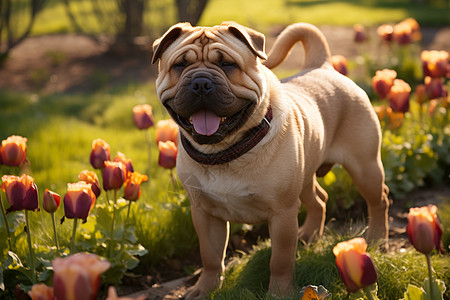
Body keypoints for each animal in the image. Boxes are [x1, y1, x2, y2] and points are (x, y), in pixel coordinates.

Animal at [152, 22, 390, 298]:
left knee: (379, 201)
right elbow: (210, 256)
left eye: (228, 64)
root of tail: (323, 66)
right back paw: (308, 235)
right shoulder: (204, 213)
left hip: (365, 168)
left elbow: (280, 260)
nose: (201, 83)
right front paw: (204, 289)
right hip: (306, 175)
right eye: (179, 65)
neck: (225, 151)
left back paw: (376, 239)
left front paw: (279, 292)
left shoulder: (282, 213)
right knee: (319, 200)